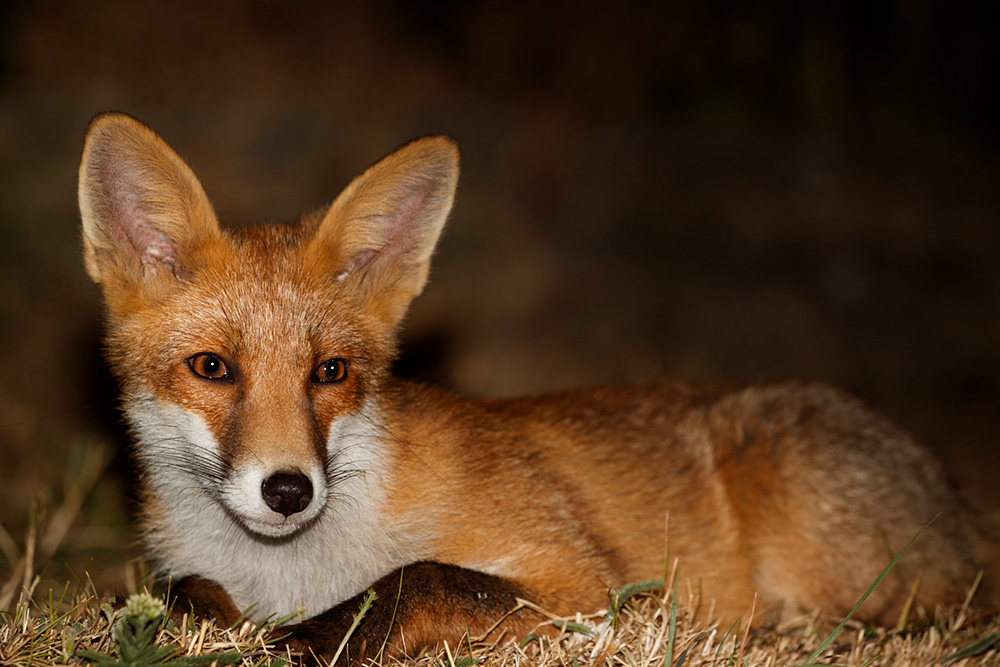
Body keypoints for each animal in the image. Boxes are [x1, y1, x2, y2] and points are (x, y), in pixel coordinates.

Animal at [79, 112, 996, 664]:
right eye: (213, 367)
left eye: (329, 372)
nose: (288, 489)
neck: (291, 571)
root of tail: (956, 494)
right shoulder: (191, 570)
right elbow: (179, 590)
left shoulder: (589, 590)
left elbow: (424, 575)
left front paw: (310, 639)